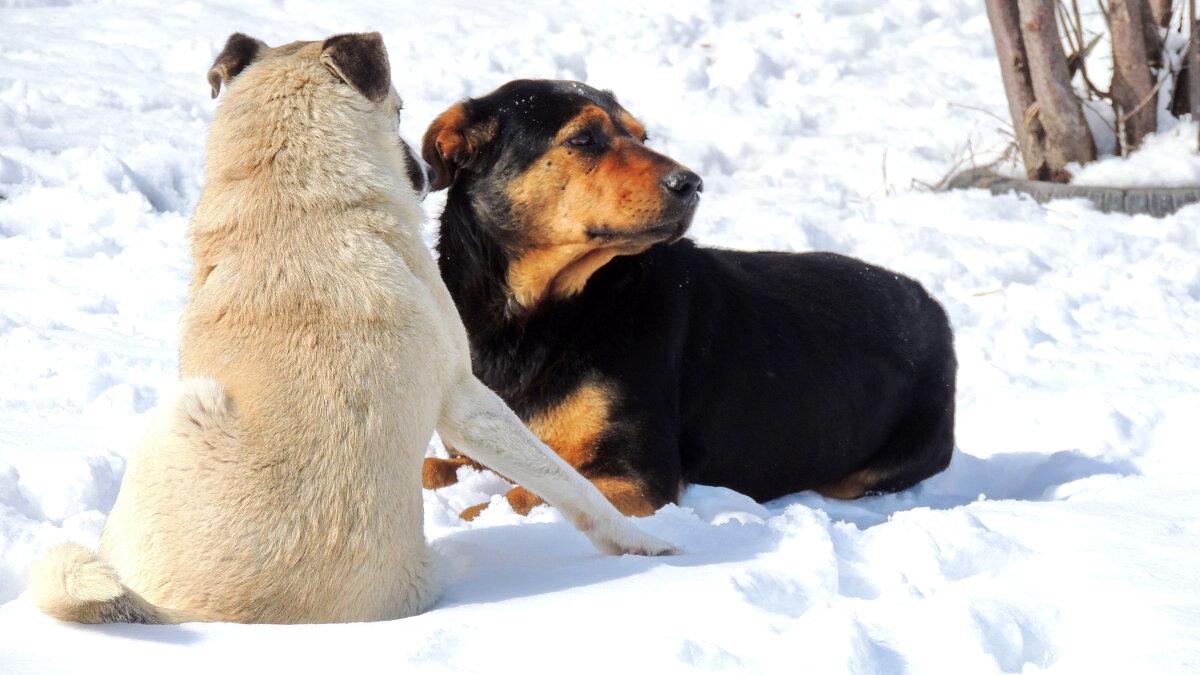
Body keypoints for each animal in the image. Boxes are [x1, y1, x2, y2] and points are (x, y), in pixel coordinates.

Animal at [25, 31, 676, 624]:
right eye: (402, 110)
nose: (426, 170)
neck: (290, 195)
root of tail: (200, 617)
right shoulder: (467, 399)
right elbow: (570, 483)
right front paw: (648, 545)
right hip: (183, 406)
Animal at [422, 79, 955, 521]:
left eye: (643, 137)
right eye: (583, 138)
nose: (691, 183)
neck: (539, 314)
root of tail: (928, 300)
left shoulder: (639, 478)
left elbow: (522, 499)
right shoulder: (473, 446)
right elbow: (432, 467)